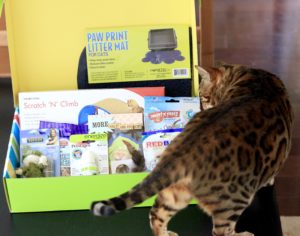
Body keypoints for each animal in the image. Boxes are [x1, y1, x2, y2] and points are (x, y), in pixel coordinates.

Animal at [91, 63, 292, 236]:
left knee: (155, 216)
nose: (202, 103)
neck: (250, 76)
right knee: (221, 232)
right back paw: (241, 235)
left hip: (174, 194)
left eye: (203, 96)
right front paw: (269, 180)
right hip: (233, 202)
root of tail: (184, 153)